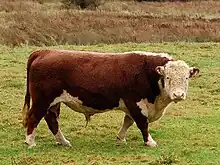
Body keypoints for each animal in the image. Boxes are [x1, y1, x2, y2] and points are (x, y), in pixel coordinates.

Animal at [22, 50, 199, 148]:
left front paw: (120, 139)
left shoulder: (131, 105)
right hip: (42, 100)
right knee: (34, 118)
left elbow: (128, 122)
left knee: (52, 120)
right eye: (168, 77)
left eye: (186, 78)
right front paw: (150, 142)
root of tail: (44, 51)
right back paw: (30, 142)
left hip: (53, 102)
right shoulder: (136, 103)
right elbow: (142, 124)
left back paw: (63, 142)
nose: (178, 95)